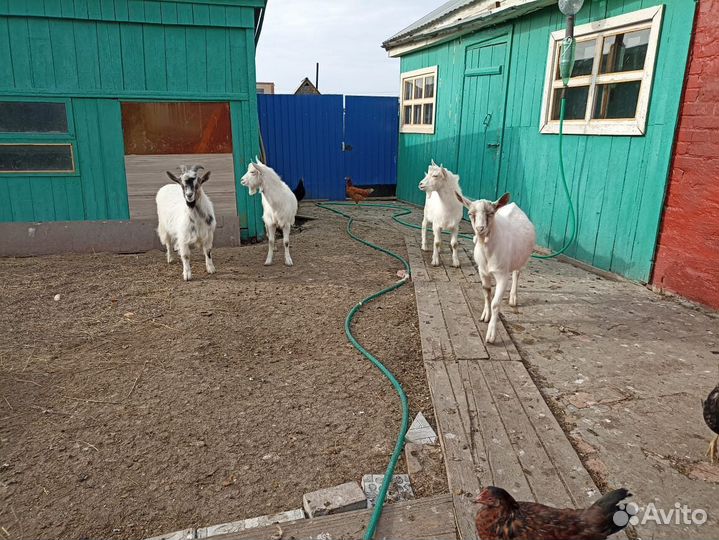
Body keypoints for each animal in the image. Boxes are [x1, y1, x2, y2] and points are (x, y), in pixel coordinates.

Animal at [456, 192, 536, 344]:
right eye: (470, 213)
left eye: (491, 213)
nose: (480, 228)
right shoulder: (482, 271)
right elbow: (486, 293)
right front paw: (485, 316)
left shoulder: (502, 275)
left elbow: (495, 303)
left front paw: (491, 335)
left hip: (522, 258)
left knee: (516, 273)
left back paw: (513, 298)